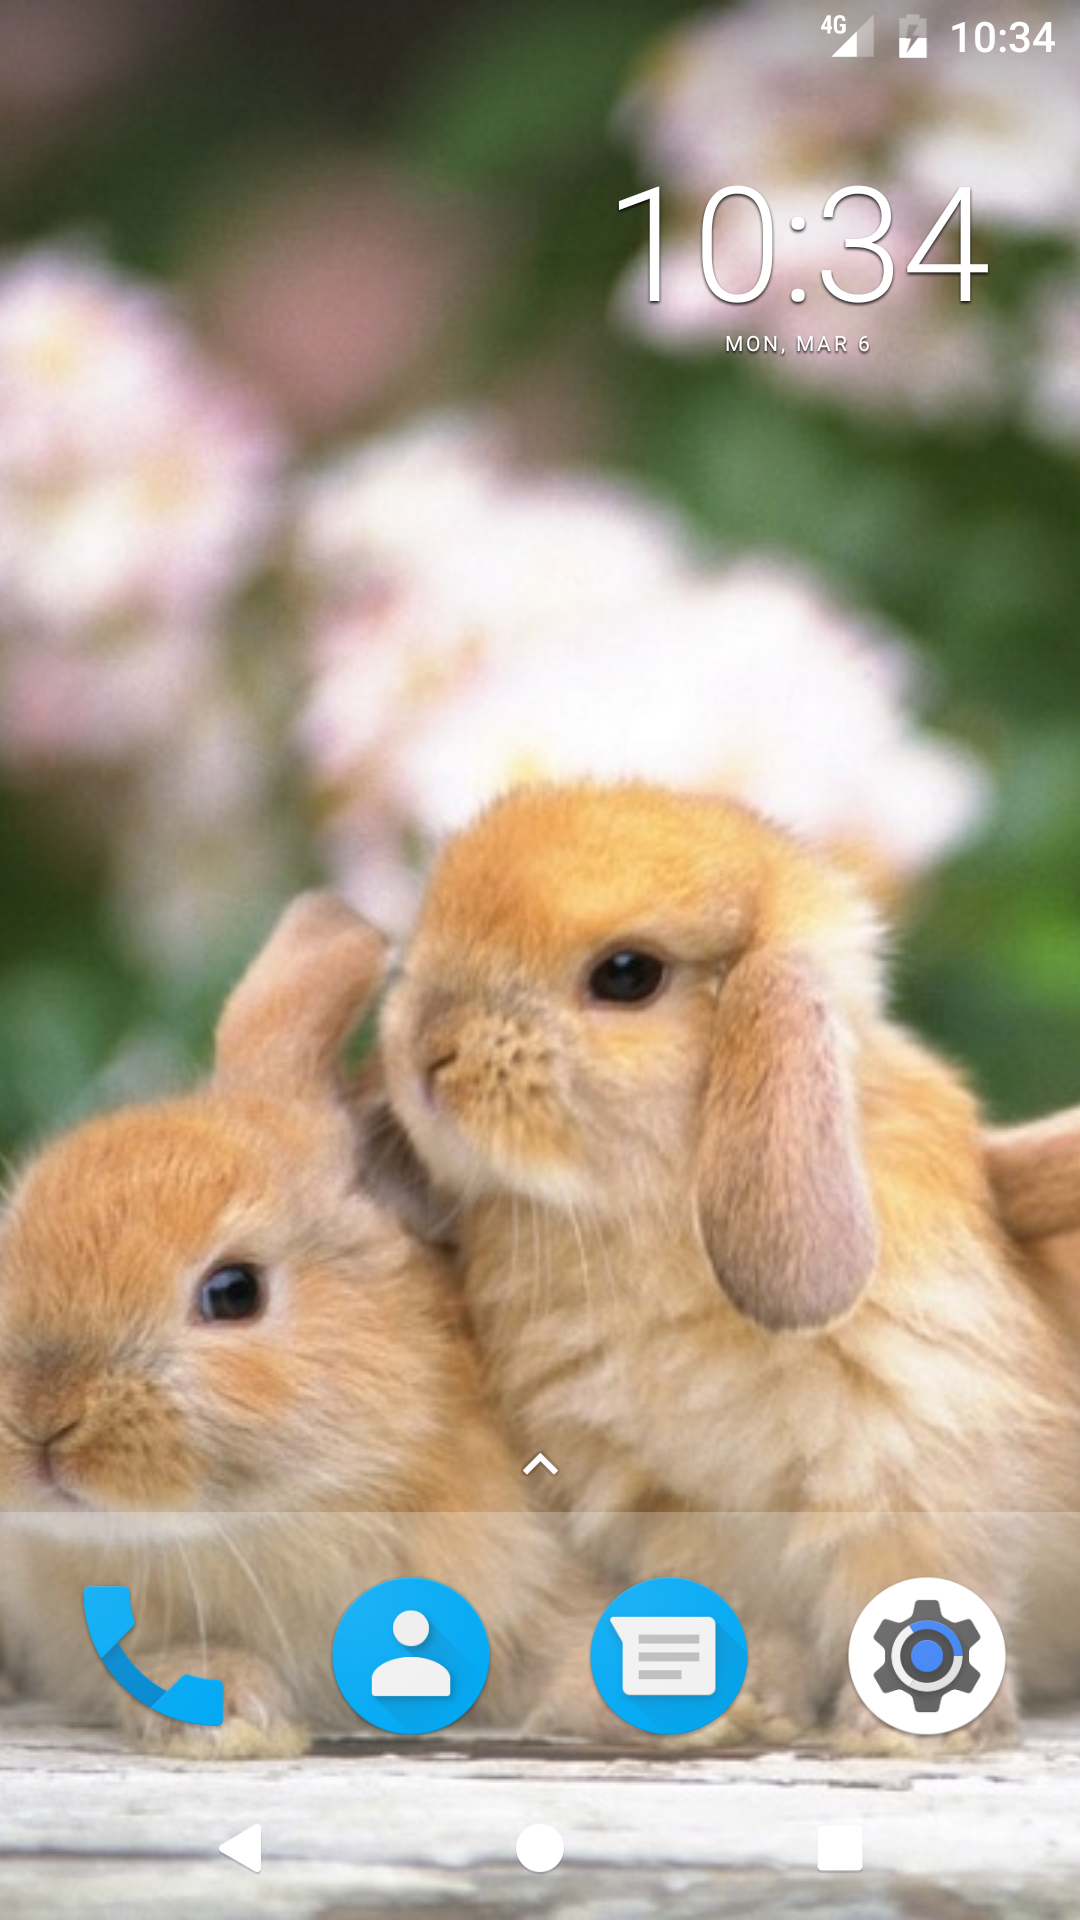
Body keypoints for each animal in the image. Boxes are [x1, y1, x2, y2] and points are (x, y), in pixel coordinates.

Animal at [373, 779, 1080, 1752]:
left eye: (626, 976)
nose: (423, 1053)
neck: (658, 1222)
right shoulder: (672, 1511)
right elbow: (741, 1615)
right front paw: (749, 1707)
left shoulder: (914, 1479)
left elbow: (913, 1584)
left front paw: (896, 1736)